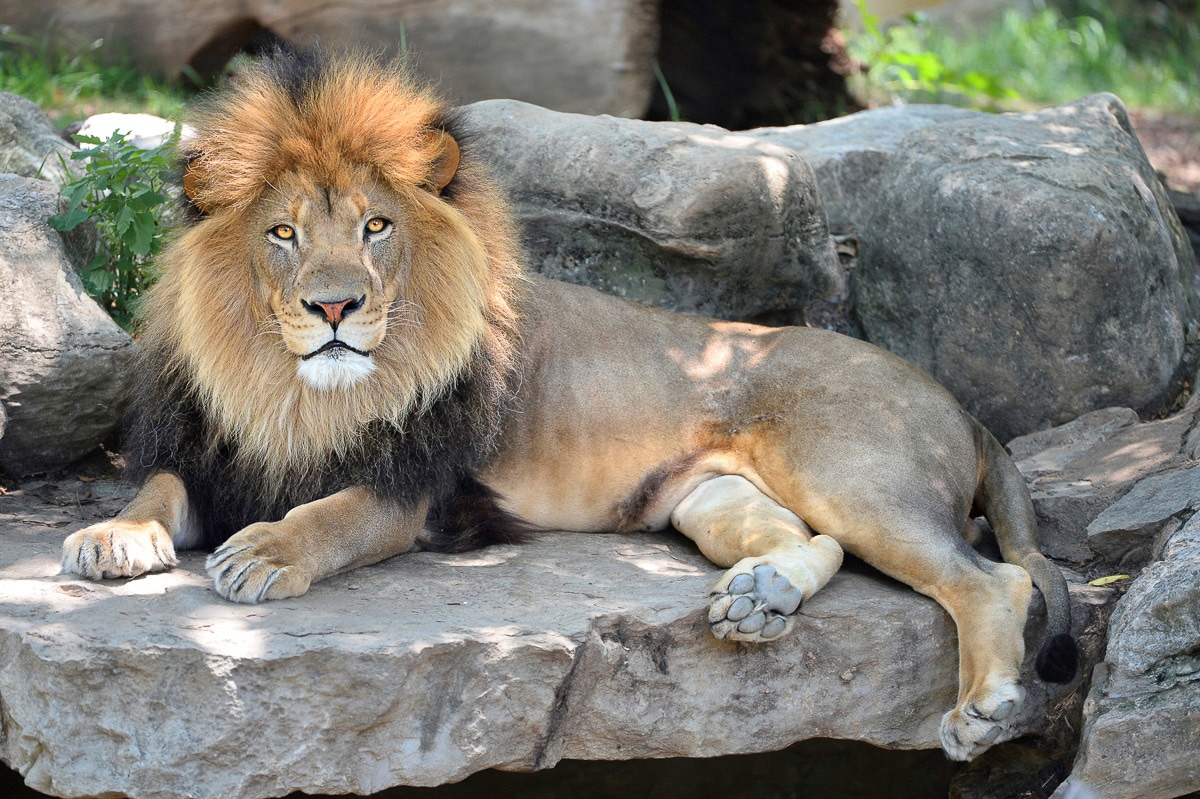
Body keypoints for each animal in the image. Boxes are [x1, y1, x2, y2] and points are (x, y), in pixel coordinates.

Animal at [58, 48, 1080, 758]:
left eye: (376, 226)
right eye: (283, 233)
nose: (335, 306)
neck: (291, 396)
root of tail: (956, 401)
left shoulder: (422, 492)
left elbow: (333, 513)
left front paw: (265, 551)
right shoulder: (210, 454)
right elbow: (156, 488)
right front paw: (112, 536)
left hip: (852, 471)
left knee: (992, 577)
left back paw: (983, 706)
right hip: (710, 498)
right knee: (808, 539)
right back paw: (759, 598)